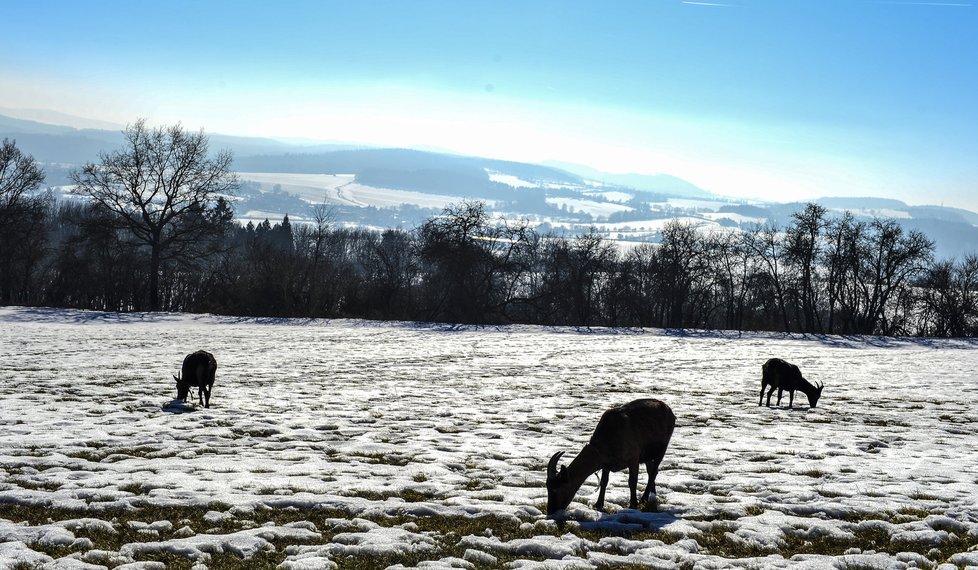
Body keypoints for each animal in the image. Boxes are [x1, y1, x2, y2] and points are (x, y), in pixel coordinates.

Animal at [544, 398, 676, 512]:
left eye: (556, 489)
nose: (550, 511)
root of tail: (670, 411)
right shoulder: (606, 464)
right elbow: (604, 482)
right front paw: (598, 504)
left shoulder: (633, 458)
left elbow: (632, 481)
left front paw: (633, 504)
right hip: (648, 454)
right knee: (651, 470)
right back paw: (652, 494)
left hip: (663, 448)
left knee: (654, 471)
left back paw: (644, 498)